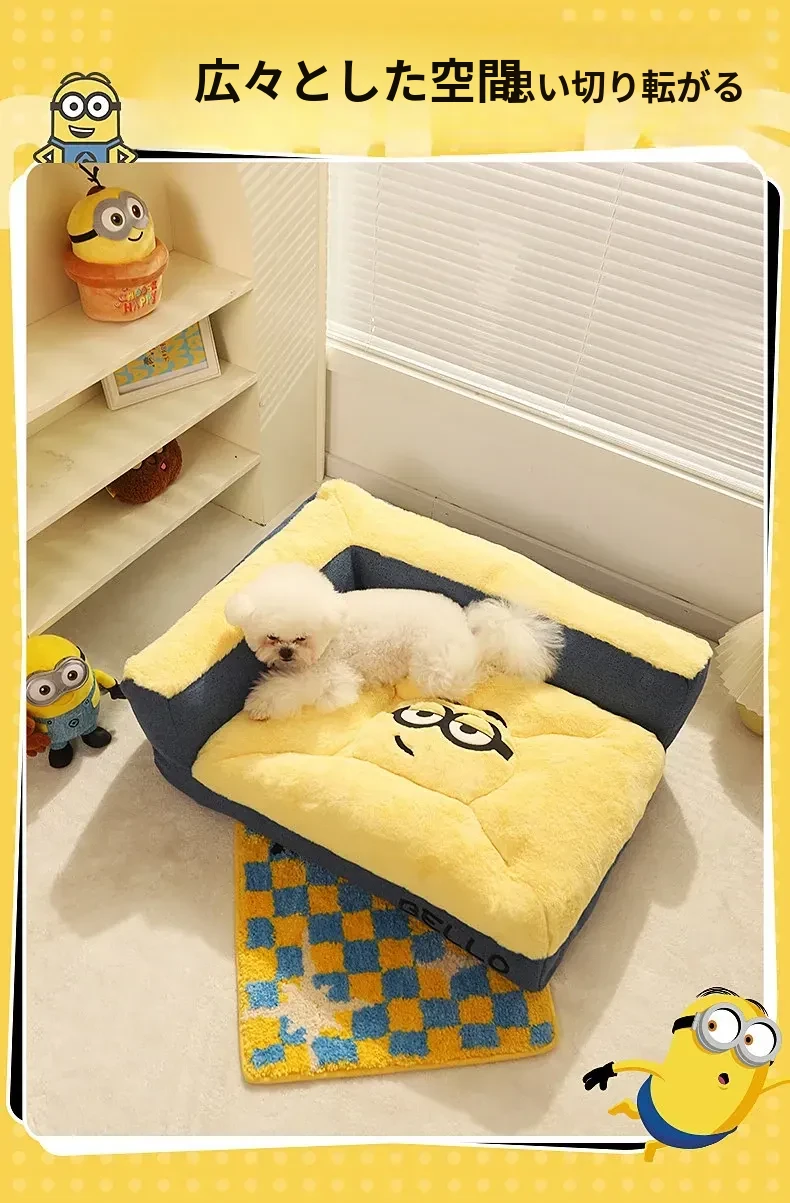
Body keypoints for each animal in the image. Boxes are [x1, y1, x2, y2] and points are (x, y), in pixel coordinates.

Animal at [224, 562, 564, 721]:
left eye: (301, 638)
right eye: (272, 637)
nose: (285, 653)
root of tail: (469, 630)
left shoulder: (331, 674)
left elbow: (294, 688)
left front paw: (260, 704)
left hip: (434, 665)